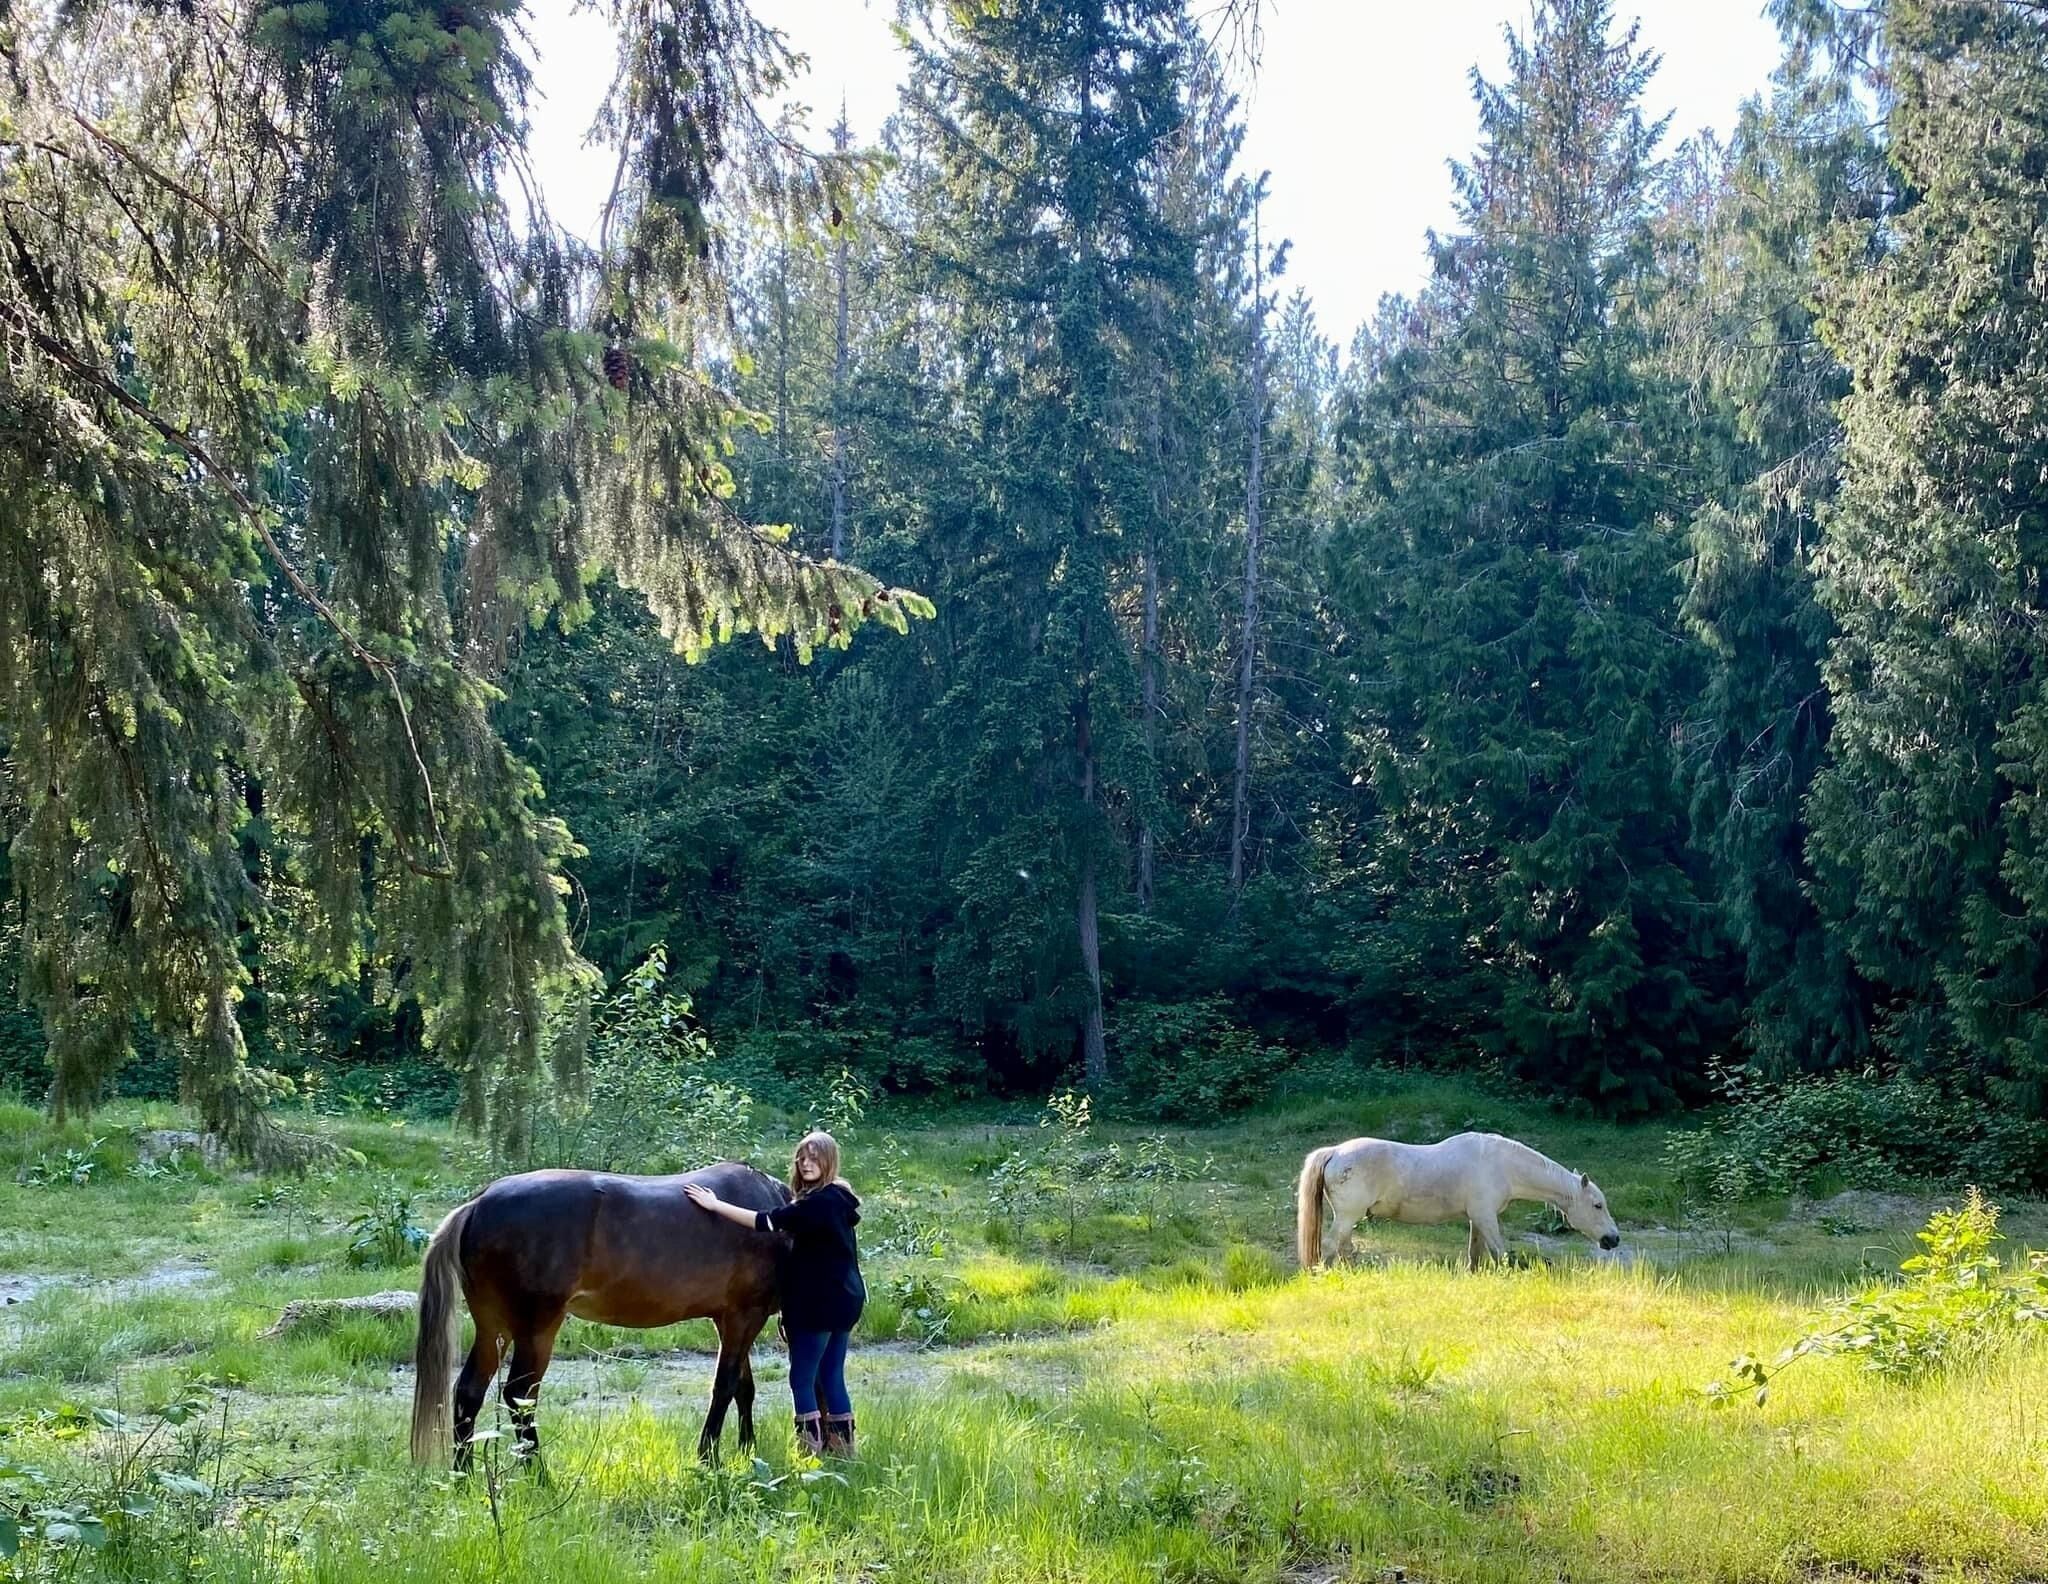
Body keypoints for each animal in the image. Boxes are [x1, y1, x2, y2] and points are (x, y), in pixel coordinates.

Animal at [409, 1160, 790, 1470]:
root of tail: (479, 1204)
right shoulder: (744, 1316)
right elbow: (726, 1386)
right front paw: (709, 1458)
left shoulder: (728, 1320)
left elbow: (744, 1388)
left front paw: (748, 1450)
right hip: (536, 1328)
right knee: (520, 1396)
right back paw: (540, 1478)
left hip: (494, 1327)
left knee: (469, 1392)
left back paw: (463, 1477)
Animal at [1295, 1132, 1620, 1271]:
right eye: (1597, 1206)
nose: (1613, 1239)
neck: (1503, 1164)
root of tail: (1335, 1152)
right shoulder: (1486, 1217)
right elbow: (1501, 1253)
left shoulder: (1477, 1218)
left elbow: (1476, 1254)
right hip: (1348, 1215)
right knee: (1330, 1246)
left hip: (1351, 1217)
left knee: (1344, 1247)